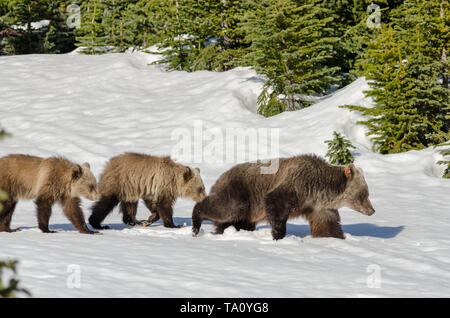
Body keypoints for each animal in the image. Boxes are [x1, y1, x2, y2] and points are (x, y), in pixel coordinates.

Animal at [192, 155, 374, 240]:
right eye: (364, 194)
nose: (372, 210)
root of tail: (221, 176)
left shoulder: (319, 206)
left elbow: (327, 224)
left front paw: (336, 237)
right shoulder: (296, 185)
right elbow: (275, 203)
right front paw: (277, 234)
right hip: (241, 193)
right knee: (227, 208)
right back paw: (196, 223)